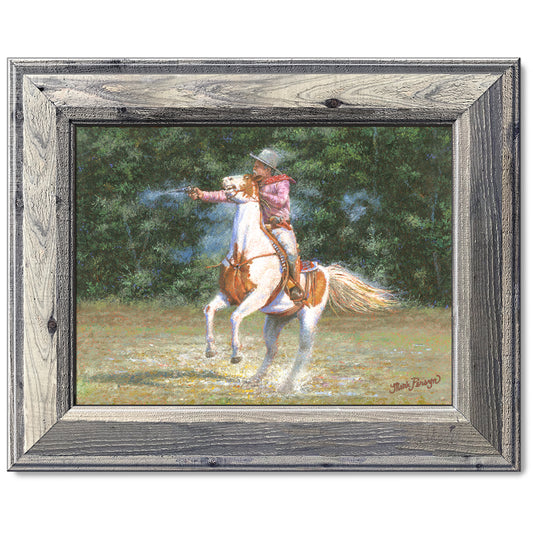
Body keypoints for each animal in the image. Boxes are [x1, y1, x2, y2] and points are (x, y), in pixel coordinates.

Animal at [202, 174, 392, 390]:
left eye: (247, 177)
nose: (225, 180)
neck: (244, 252)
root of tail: (326, 272)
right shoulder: (228, 295)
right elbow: (209, 309)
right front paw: (210, 350)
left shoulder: (258, 296)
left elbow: (235, 317)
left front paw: (236, 355)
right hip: (275, 320)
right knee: (272, 349)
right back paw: (255, 379)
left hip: (309, 319)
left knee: (303, 351)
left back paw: (288, 386)